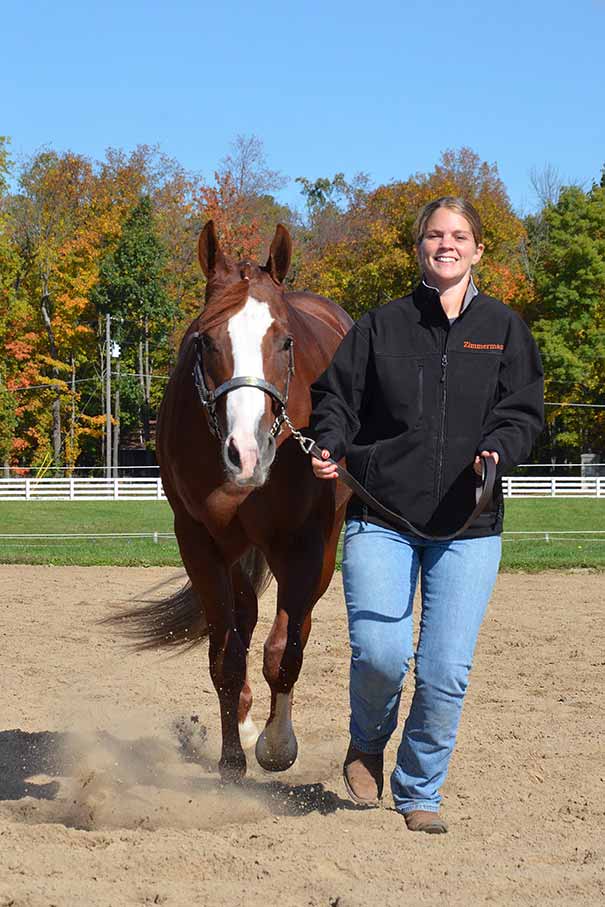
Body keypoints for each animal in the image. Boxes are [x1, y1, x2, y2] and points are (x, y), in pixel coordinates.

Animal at [116, 222, 352, 782]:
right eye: (204, 341)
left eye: (285, 341)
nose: (246, 453)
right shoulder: (199, 544)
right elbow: (226, 656)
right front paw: (231, 757)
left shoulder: (304, 546)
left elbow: (284, 650)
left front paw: (277, 745)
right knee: (243, 621)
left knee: (294, 627)